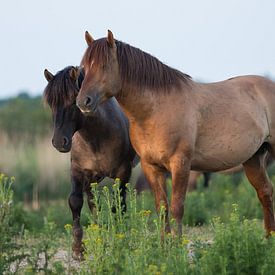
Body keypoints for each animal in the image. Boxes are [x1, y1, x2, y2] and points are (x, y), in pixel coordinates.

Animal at [44, 66, 137, 260]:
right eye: (51, 104)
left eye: (73, 101)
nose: (59, 142)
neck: (97, 136)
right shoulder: (78, 171)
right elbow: (76, 201)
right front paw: (78, 249)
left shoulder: (122, 173)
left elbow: (118, 205)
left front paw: (120, 240)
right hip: (92, 179)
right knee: (94, 204)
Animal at [76, 29, 275, 237]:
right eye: (84, 68)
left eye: (104, 66)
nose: (83, 102)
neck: (155, 110)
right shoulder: (151, 167)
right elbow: (162, 208)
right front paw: (164, 245)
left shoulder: (180, 165)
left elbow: (177, 208)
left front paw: (177, 245)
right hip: (253, 159)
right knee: (265, 192)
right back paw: (268, 239)